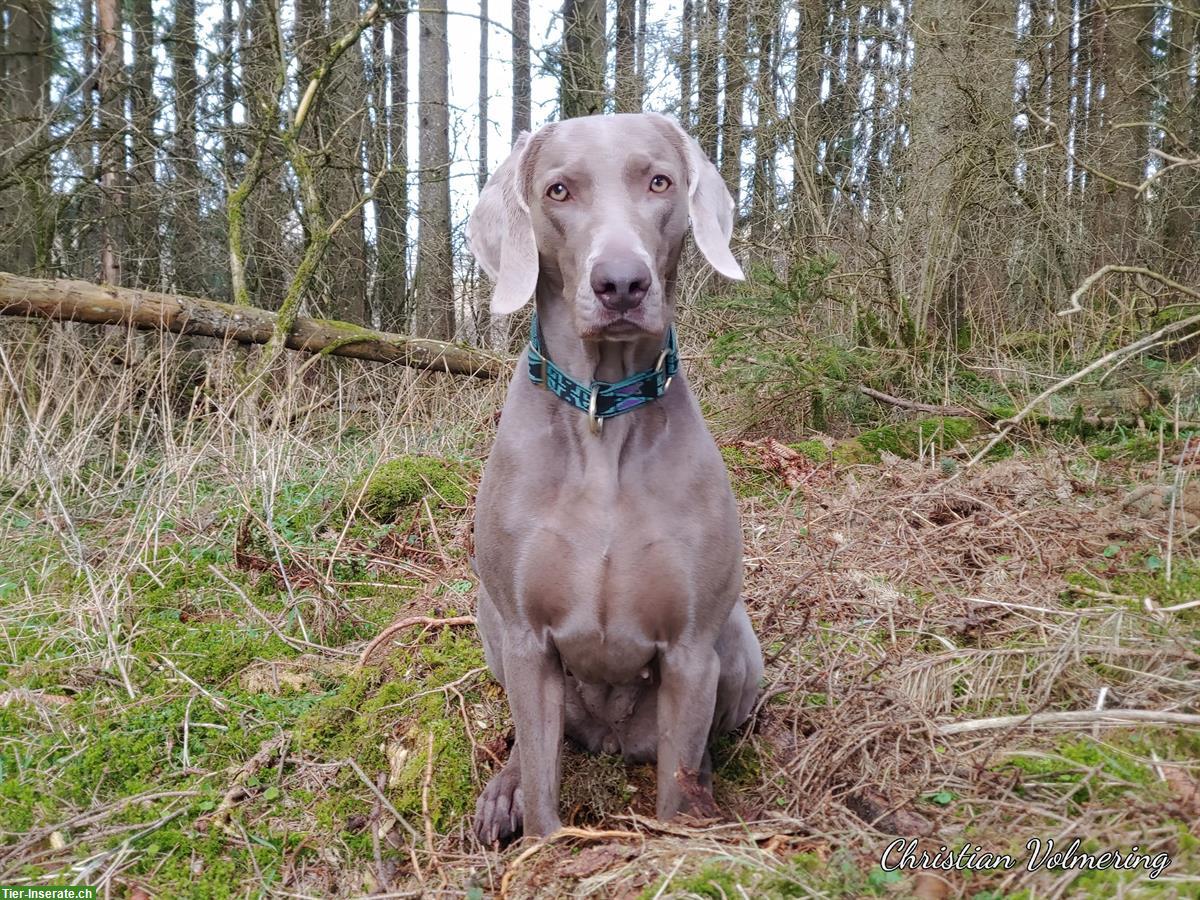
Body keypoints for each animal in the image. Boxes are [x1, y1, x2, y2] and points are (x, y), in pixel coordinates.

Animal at [465, 112, 758, 844]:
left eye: (659, 182)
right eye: (558, 191)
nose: (621, 284)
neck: (603, 410)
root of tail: (608, 738)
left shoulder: (689, 650)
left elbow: (675, 792)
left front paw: (686, 828)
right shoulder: (527, 640)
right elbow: (544, 795)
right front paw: (540, 843)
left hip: (739, 644)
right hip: (490, 618)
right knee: (530, 740)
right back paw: (503, 792)